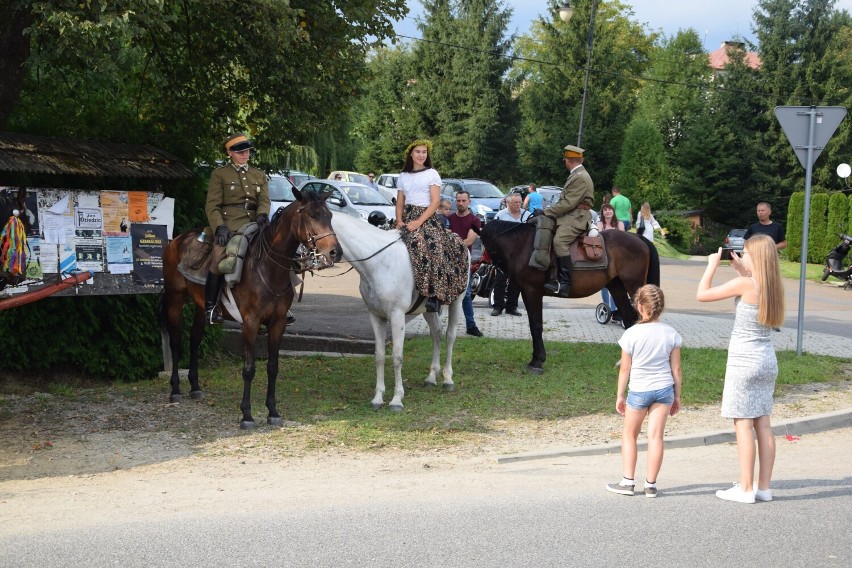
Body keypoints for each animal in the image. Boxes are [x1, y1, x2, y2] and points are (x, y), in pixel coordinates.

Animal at [161, 189, 342, 428]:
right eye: (312, 215)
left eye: (330, 215)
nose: (335, 252)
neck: (269, 268)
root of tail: (177, 240)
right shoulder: (250, 323)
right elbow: (249, 369)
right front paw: (246, 415)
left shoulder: (278, 323)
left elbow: (273, 367)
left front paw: (273, 412)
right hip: (175, 299)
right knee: (175, 341)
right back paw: (175, 389)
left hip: (200, 306)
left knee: (195, 339)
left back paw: (195, 387)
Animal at [332, 211, 466, 410]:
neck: (377, 263)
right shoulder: (375, 316)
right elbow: (380, 355)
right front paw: (378, 398)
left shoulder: (397, 315)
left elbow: (397, 356)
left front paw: (396, 400)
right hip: (428, 310)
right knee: (437, 333)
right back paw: (431, 377)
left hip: (457, 302)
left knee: (450, 336)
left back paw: (447, 379)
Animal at [480, 220, 660, 374]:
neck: (523, 245)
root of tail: (637, 237)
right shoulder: (527, 292)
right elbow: (534, 325)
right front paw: (536, 359)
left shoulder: (532, 292)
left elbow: (536, 325)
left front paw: (537, 361)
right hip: (617, 288)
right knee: (629, 319)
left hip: (634, 286)